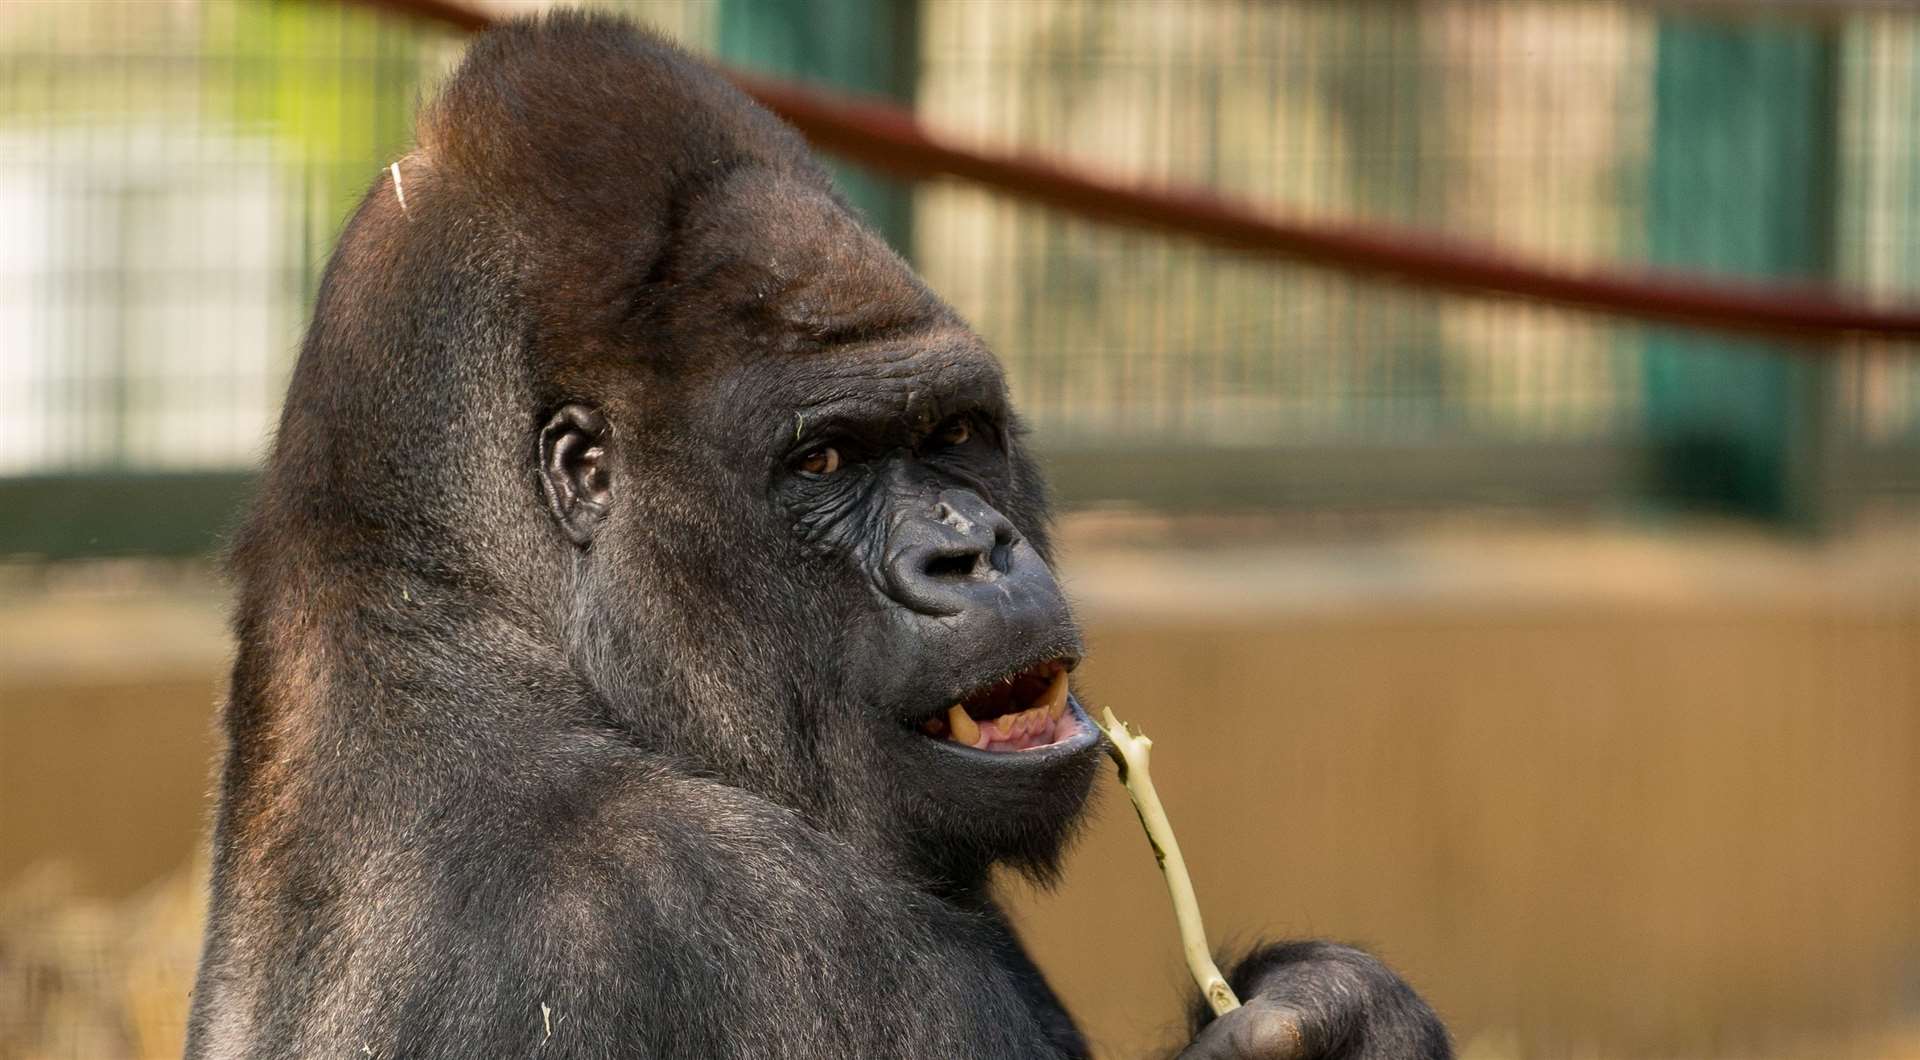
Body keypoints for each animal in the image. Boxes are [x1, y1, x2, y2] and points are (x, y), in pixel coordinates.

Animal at [187, 14, 1443, 1060]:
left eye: (956, 432)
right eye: (826, 462)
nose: (972, 551)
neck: (427, 586)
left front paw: (1337, 1013)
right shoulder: (752, 914)